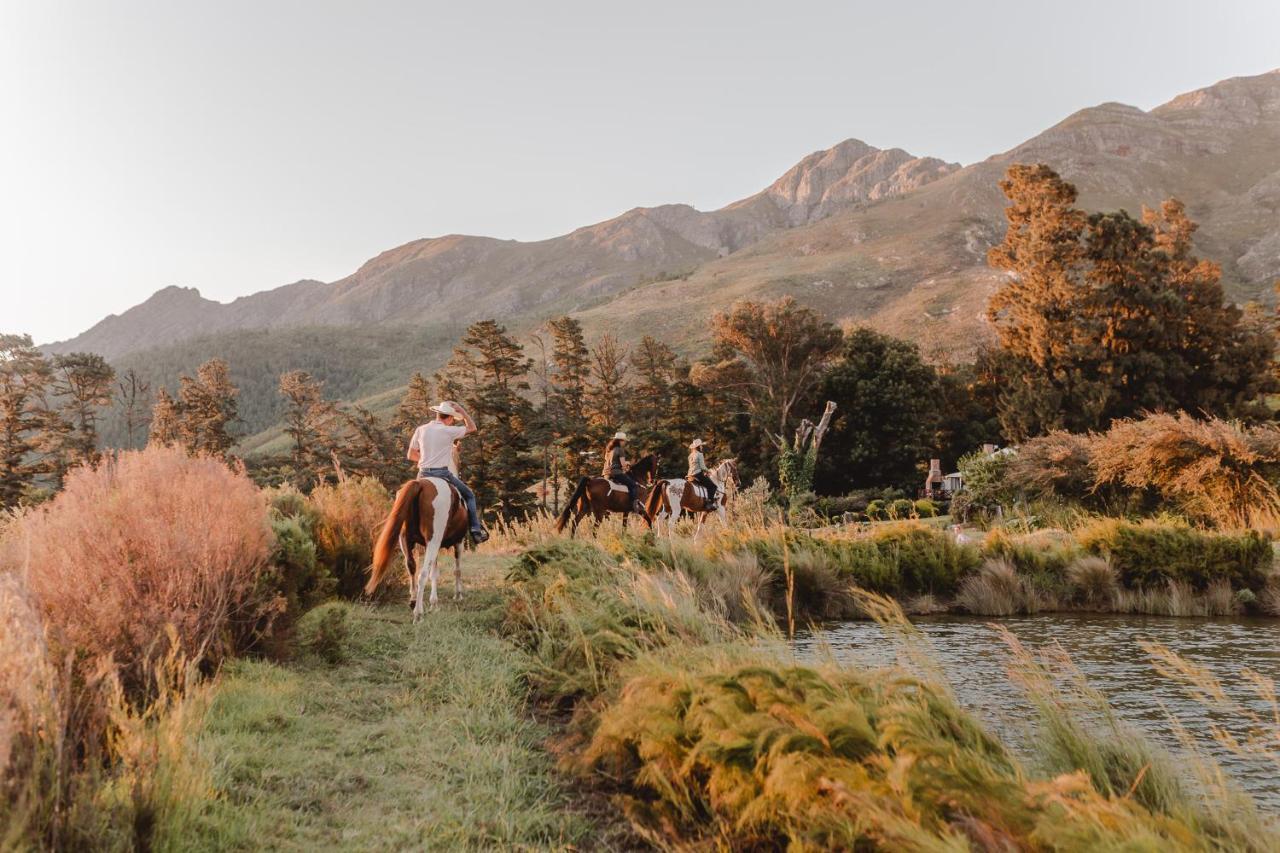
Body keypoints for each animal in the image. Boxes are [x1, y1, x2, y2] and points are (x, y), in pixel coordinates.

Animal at [368, 471, 468, 617]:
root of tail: (421, 484)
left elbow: (434, 572)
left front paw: (434, 603)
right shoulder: (458, 542)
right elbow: (457, 569)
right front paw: (458, 595)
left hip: (406, 540)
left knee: (411, 566)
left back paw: (413, 601)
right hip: (433, 541)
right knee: (423, 574)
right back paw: (418, 611)